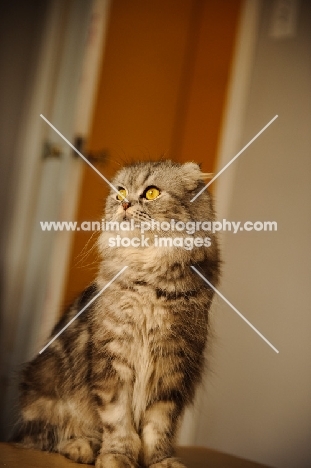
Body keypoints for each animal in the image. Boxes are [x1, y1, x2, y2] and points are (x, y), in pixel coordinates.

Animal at [12, 159, 222, 466]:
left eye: (151, 193)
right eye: (121, 192)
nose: (124, 204)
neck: (148, 281)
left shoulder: (173, 365)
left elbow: (159, 427)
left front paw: (160, 460)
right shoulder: (113, 361)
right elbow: (118, 421)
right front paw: (117, 456)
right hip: (44, 390)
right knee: (48, 437)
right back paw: (82, 448)